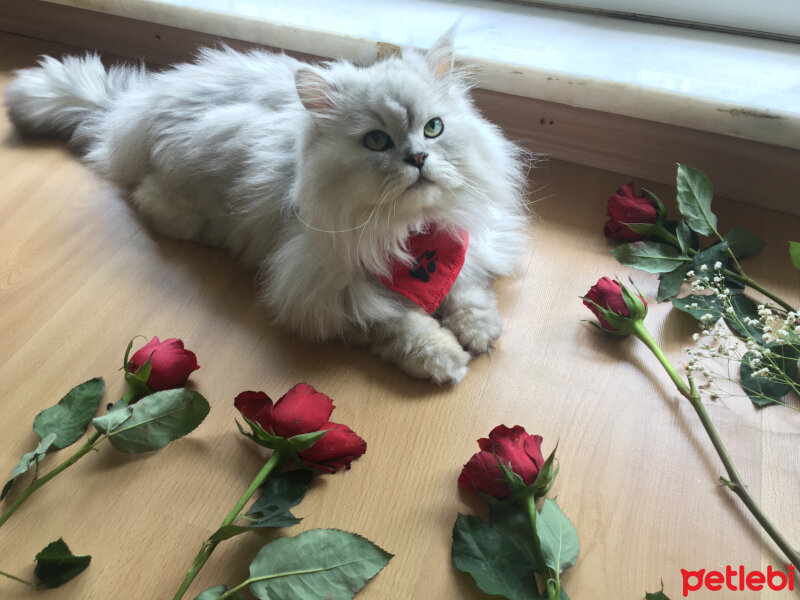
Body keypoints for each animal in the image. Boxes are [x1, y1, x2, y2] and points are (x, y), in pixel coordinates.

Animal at [7, 30, 532, 384]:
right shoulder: (328, 291)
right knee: (149, 200)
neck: (410, 233)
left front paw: (479, 332)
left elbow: (468, 289)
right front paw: (445, 358)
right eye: (377, 141)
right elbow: (403, 324)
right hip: (184, 197)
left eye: (433, 129)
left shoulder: (465, 239)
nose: (419, 159)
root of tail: (131, 108)